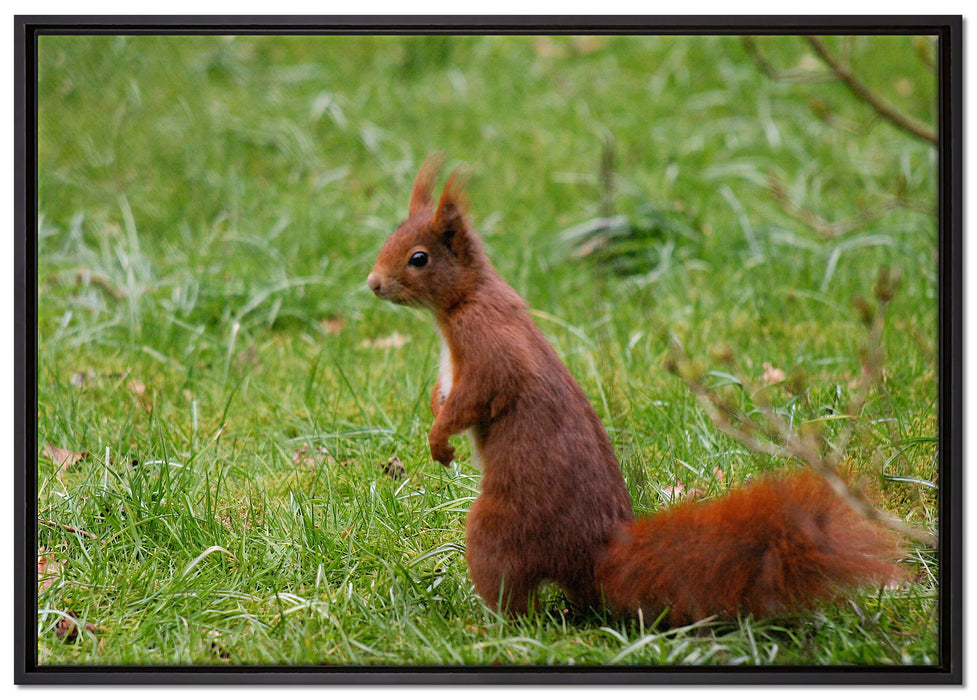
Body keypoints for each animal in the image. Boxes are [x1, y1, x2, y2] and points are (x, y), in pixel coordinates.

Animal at [366, 153, 904, 623]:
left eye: (418, 258)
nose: (372, 284)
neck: (462, 302)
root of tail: (597, 555)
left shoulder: (488, 350)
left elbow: (474, 397)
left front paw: (439, 440)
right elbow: (444, 395)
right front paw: (436, 426)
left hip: (498, 531)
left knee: (513, 595)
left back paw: (487, 624)